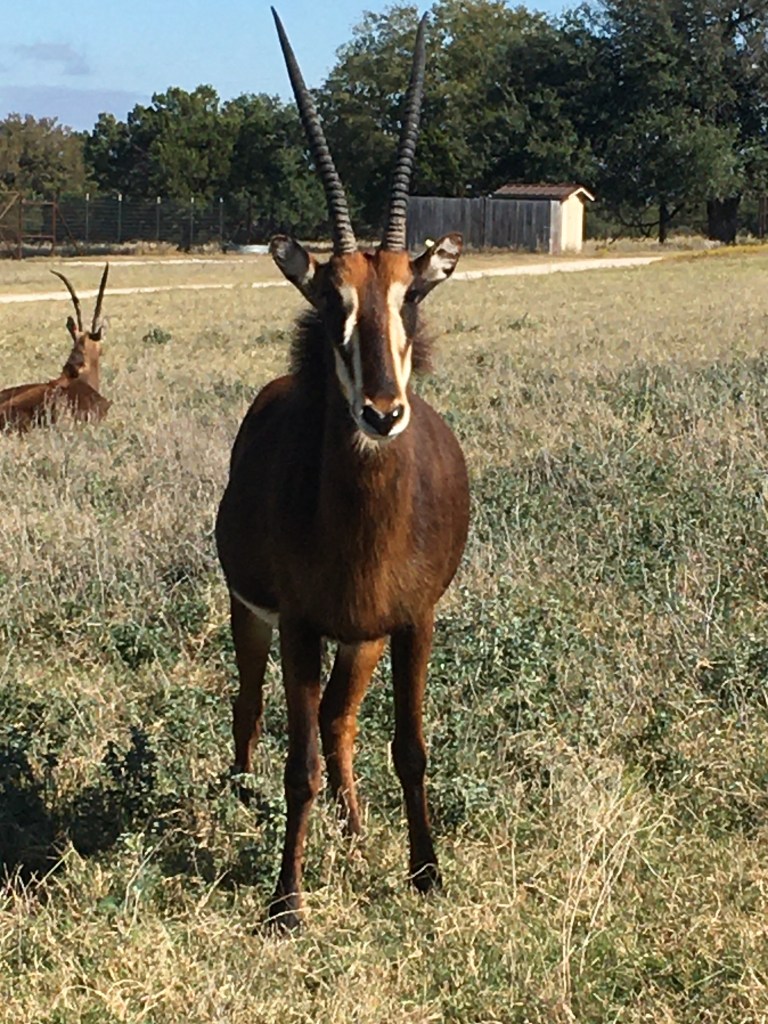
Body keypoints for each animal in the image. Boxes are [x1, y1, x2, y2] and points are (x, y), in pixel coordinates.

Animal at [215, 9, 469, 930]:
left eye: (412, 295)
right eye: (331, 298)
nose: (383, 413)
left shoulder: (413, 620)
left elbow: (412, 746)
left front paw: (425, 872)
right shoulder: (295, 622)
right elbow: (296, 765)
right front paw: (286, 900)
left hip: (362, 639)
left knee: (339, 722)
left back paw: (356, 830)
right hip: (255, 616)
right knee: (255, 711)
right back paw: (239, 798)